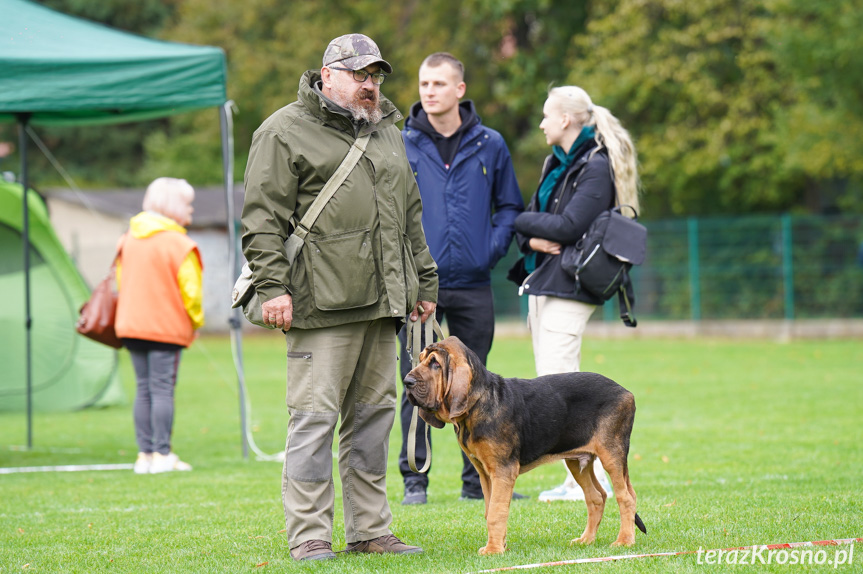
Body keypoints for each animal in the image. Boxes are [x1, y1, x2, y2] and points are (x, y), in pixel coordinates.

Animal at [402, 336, 644, 556]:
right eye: (420, 359)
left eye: (435, 363)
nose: (406, 382)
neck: (479, 402)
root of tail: (626, 392)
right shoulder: (485, 473)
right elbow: (490, 510)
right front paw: (500, 545)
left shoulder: (503, 470)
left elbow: (497, 511)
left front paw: (493, 550)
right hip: (577, 462)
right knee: (596, 496)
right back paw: (586, 540)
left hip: (611, 454)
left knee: (626, 497)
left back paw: (624, 541)